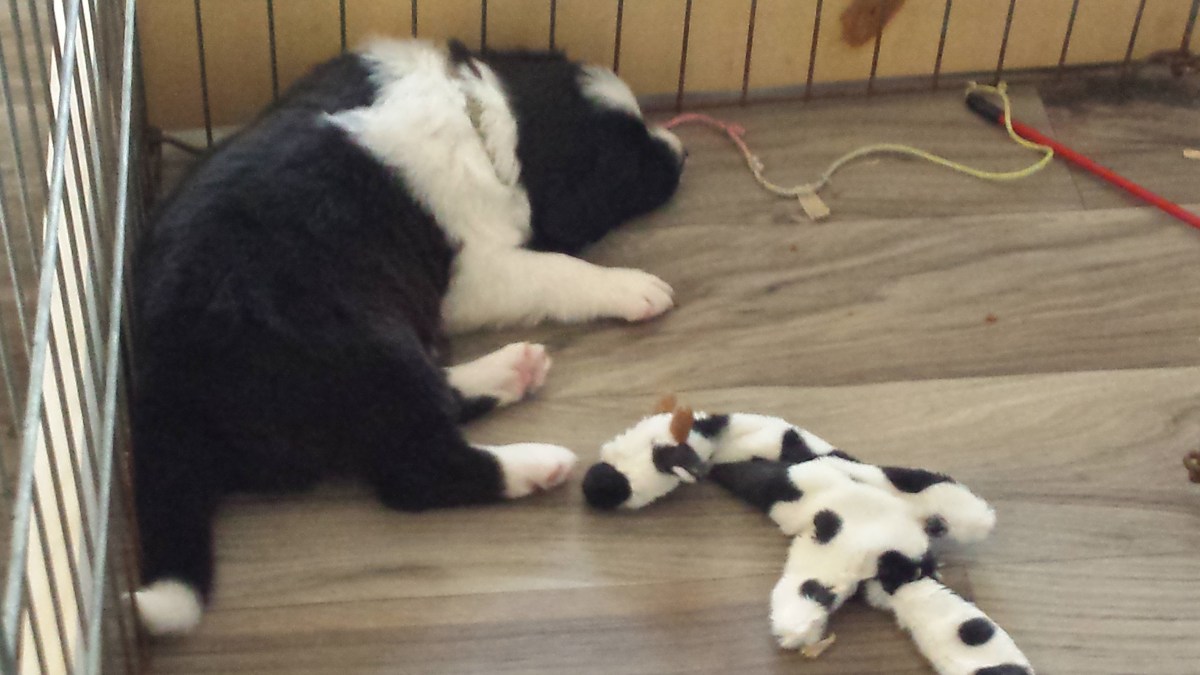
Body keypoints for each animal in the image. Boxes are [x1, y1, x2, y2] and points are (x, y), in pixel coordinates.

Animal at [131, 38, 685, 635]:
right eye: (628, 164)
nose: (681, 153)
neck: (489, 120)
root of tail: (162, 393)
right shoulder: (473, 275)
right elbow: (557, 269)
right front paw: (633, 287)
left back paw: (512, 369)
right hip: (362, 342)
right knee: (419, 467)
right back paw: (535, 463)